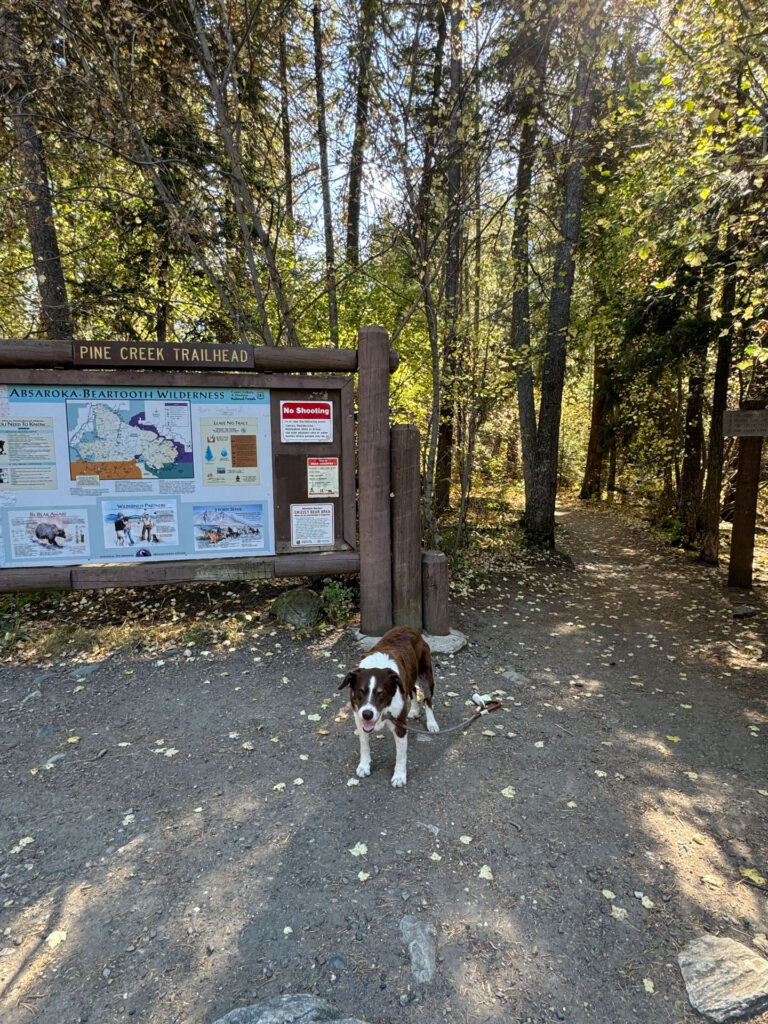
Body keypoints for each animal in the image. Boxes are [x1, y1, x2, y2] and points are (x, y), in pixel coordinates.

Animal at [337, 622, 438, 782]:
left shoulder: (400, 725)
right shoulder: (359, 719)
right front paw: (364, 766)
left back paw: (432, 723)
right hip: (408, 678)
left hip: (426, 675)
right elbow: (364, 745)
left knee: (428, 700)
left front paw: (399, 776)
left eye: (381, 693)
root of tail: (410, 628)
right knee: (413, 689)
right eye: (360, 691)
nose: (367, 714)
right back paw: (414, 710)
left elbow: (401, 755)